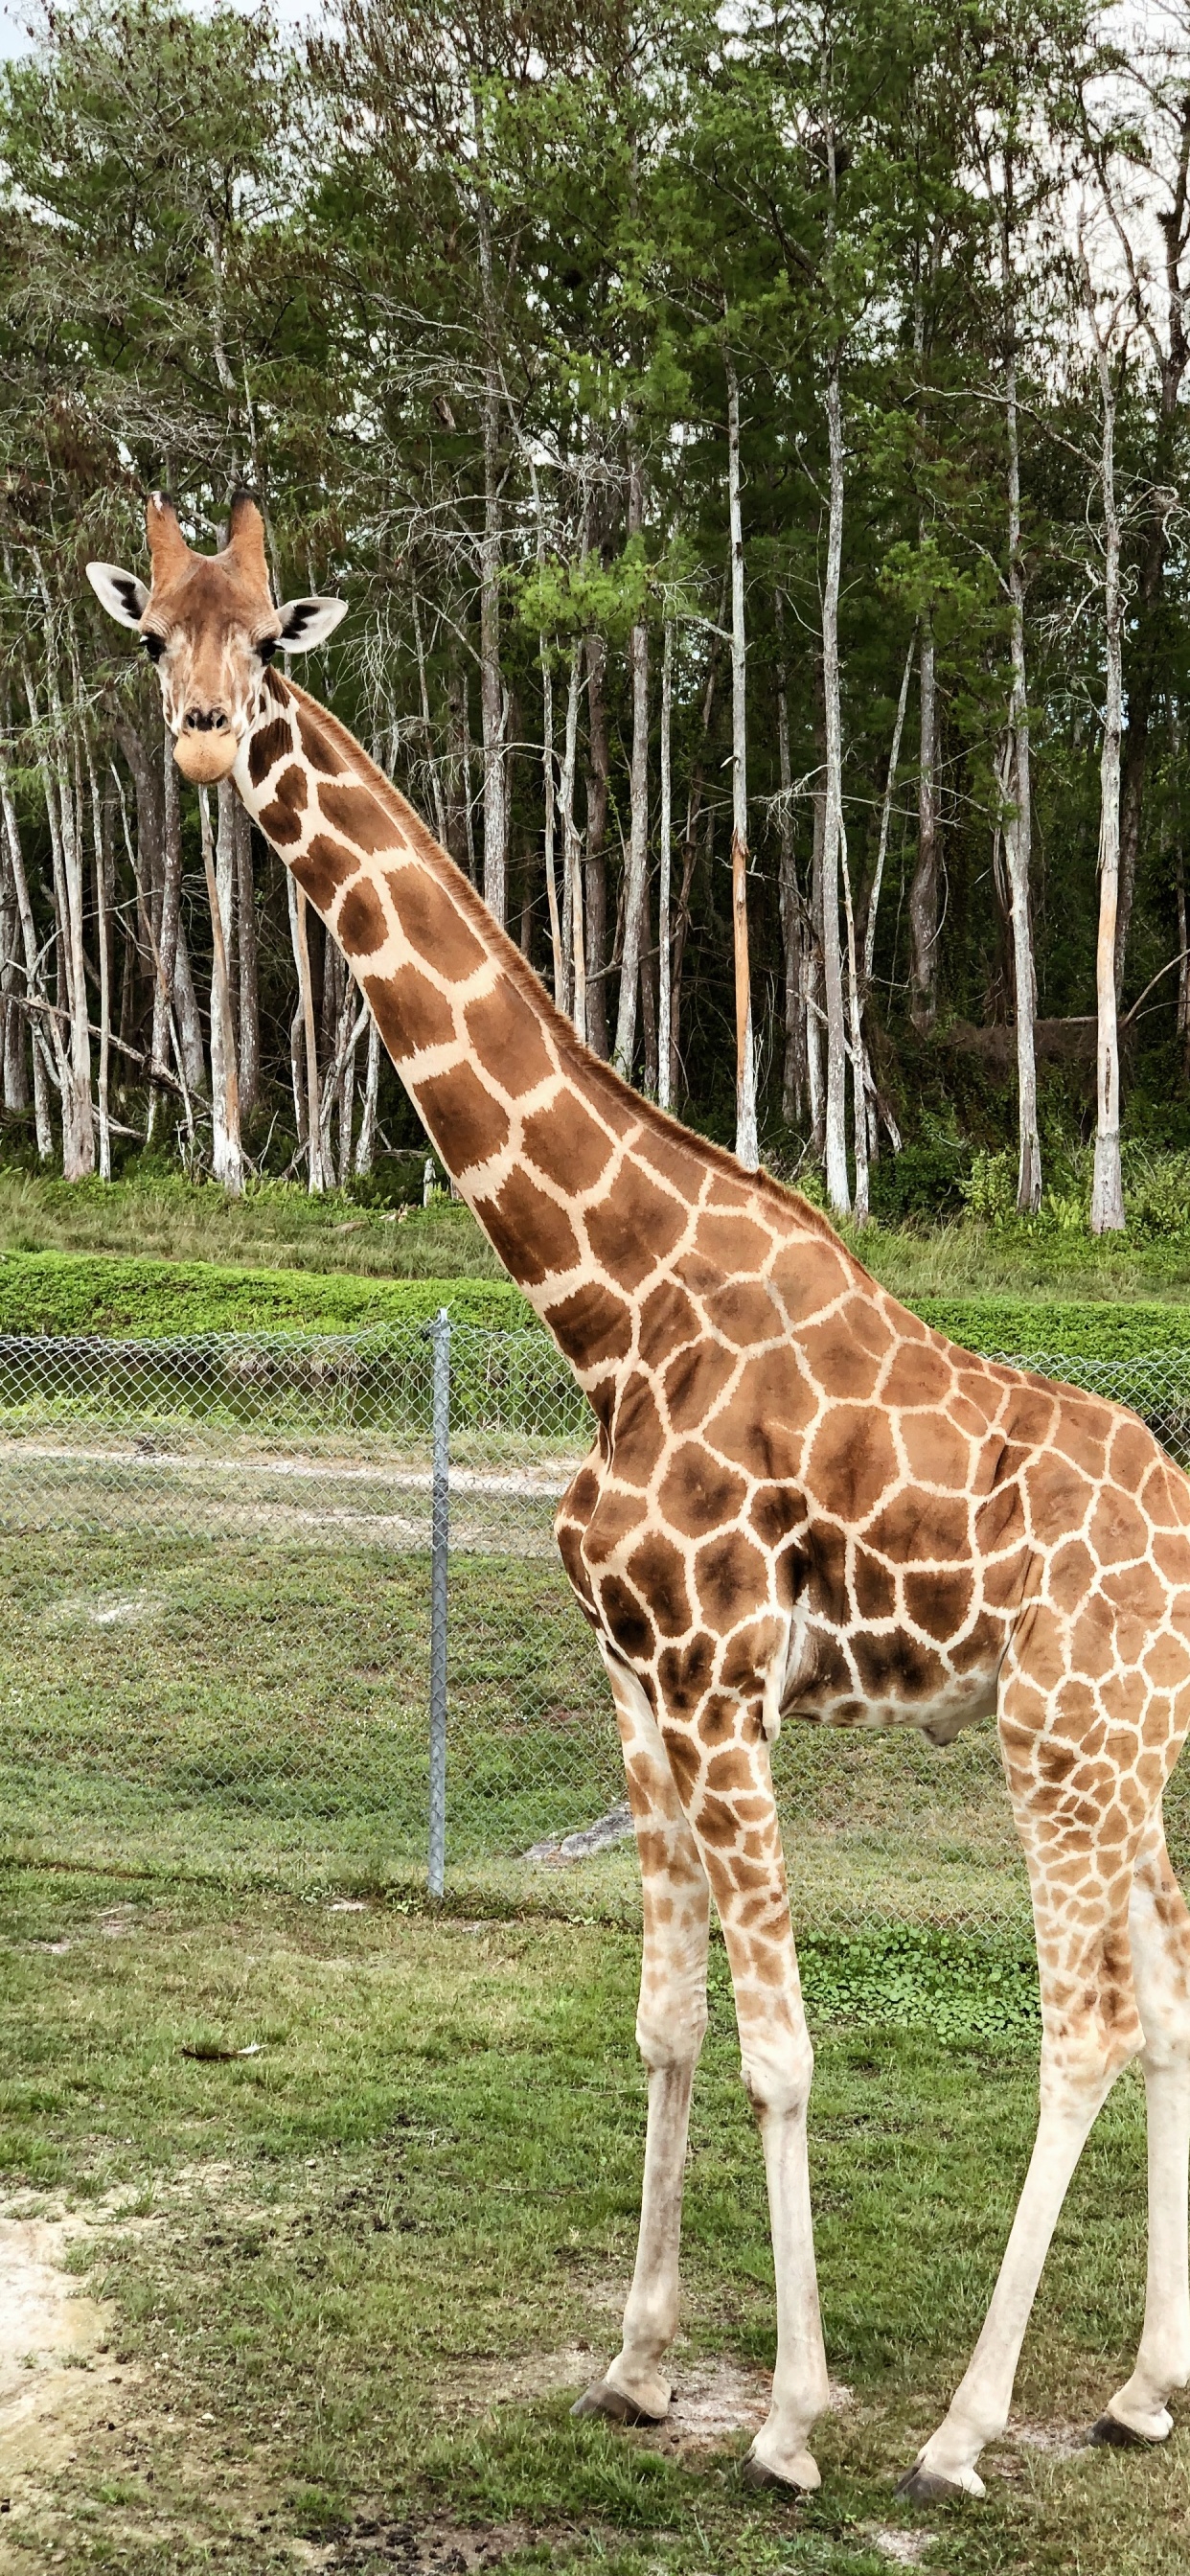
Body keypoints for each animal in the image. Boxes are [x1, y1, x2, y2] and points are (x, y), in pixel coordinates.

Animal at [88, 493, 1190, 2502]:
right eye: (154, 640)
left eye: (268, 643)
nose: (205, 742)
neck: (606, 1305)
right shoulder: (633, 1681)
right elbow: (667, 2019)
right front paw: (634, 2359)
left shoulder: (720, 1677)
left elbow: (780, 2047)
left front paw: (789, 2418)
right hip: (1116, 1741)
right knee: (1157, 1988)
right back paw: (1139, 2384)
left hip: (1056, 1738)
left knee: (1080, 2017)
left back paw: (960, 2430)